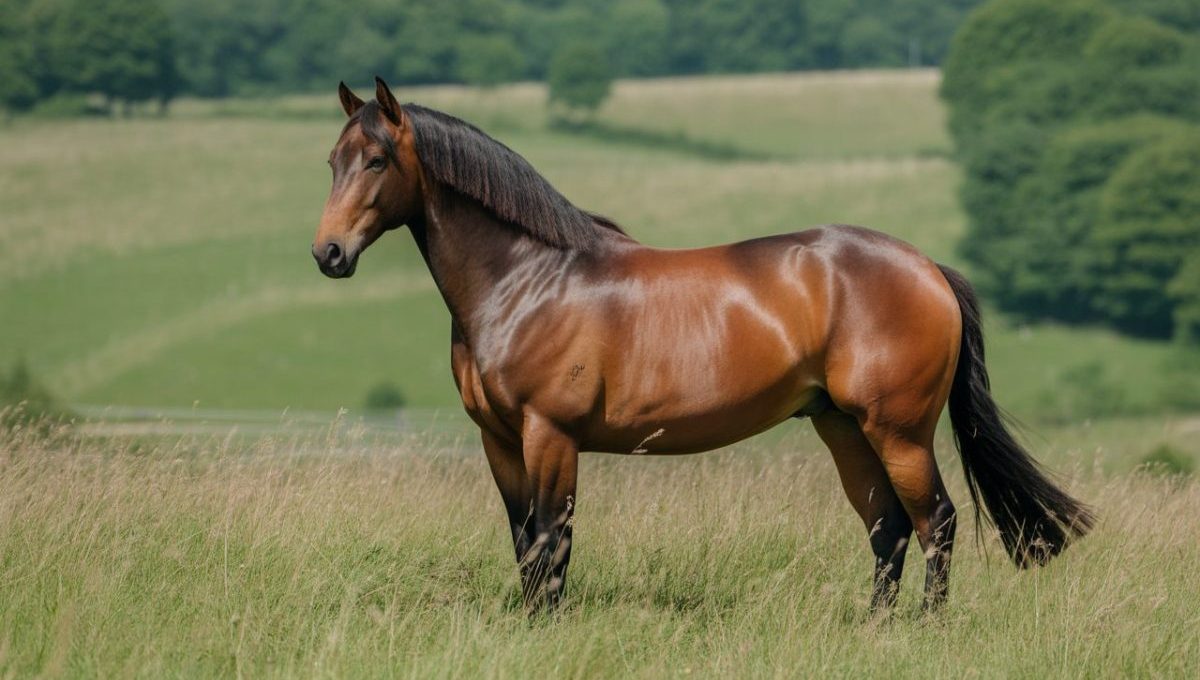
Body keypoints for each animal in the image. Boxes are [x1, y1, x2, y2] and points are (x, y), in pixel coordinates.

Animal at [312, 77, 1094, 613]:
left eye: (377, 160)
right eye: (332, 160)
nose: (329, 254)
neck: (528, 278)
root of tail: (928, 268)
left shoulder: (550, 436)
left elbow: (551, 541)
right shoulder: (500, 441)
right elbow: (524, 544)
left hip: (897, 431)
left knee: (938, 523)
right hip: (843, 428)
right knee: (889, 528)